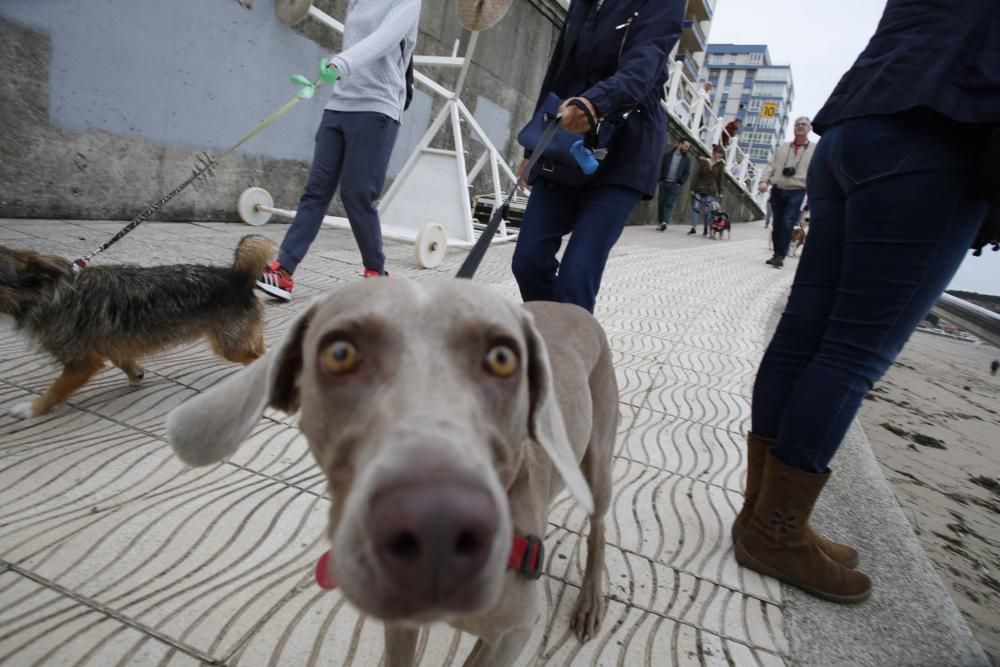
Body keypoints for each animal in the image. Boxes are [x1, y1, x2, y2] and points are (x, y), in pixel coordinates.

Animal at [0, 236, 274, 418]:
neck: (53, 292)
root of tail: (237, 277)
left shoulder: (81, 363)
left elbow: (55, 390)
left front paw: (32, 409)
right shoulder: (110, 343)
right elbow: (123, 359)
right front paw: (135, 374)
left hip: (229, 345)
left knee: (258, 358)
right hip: (242, 338)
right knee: (263, 351)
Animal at [165, 280, 616, 664]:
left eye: (503, 359)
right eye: (340, 353)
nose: (435, 523)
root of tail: (574, 307)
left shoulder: (513, 633)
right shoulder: (399, 625)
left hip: (599, 459)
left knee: (597, 528)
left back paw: (590, 602)